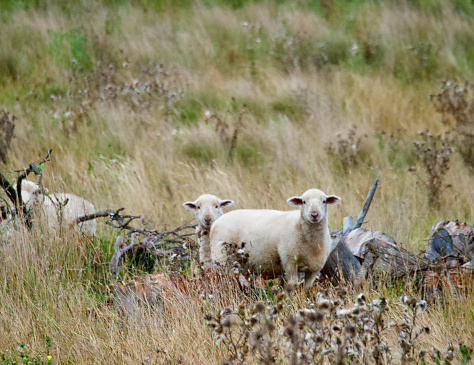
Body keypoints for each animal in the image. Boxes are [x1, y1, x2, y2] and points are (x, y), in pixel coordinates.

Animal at [210, 189, 340, 288]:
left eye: (324, 201)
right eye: (303, 202)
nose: (314, 215)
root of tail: (216, 223)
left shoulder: (314, 269)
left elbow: (307, 288)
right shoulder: (289, 262)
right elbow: (292, 284)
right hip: (220, 258)